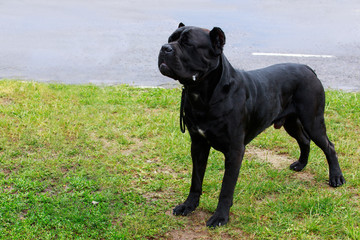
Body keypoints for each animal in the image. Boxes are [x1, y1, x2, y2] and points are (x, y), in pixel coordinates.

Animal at [158, 23, 346, 228]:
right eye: (170, 39)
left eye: (188, 44)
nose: (164, 48)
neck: (202, 93)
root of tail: (307, 68)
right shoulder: (198, 145)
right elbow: (196, 179)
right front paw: (189, 206)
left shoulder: (235, 151)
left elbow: (226, 188)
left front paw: (220, 217)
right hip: (292, 122)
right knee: (304, 140)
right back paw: (301, 164)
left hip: (312, 121)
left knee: (329, 146)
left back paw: (336, 177)